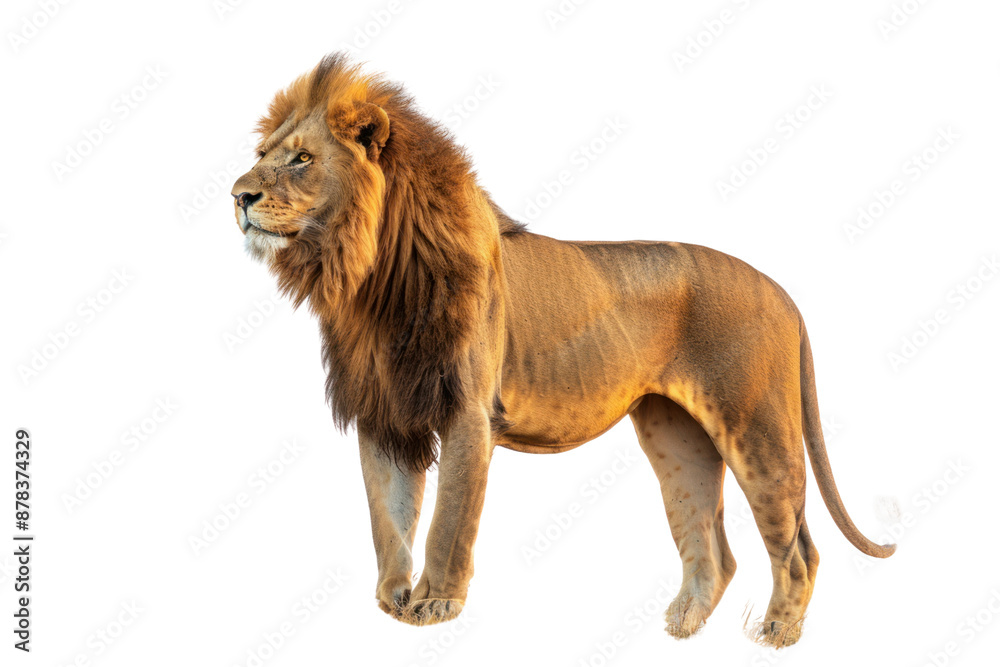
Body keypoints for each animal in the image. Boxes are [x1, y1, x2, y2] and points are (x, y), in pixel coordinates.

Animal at [231, 53, 894, 648]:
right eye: (263, 156)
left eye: (301, 159)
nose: (237, 195)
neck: (370, 280)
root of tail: (781, 290)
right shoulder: (383, 413)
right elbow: (387, 518)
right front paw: (393, 599)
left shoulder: (469, 412)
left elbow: (448, 519)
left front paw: (434, 604)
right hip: (677, 439)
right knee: (714, 547)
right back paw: (683, 625)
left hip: (757, 428)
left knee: (800, 548)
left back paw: (778, 633)